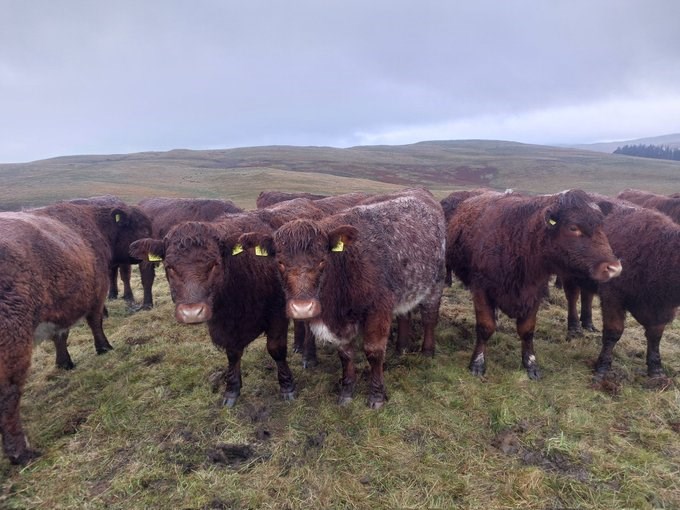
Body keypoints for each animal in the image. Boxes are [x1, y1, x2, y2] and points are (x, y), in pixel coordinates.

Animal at [0, 202, 151, 464]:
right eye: (141, 226)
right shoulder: (95, 291)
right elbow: (95, 322)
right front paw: (104, 347)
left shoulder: (63, 306)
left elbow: (60, 336)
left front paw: (64, 362)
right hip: (12, 343)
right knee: (8, 397)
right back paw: (21, 452)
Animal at [240, 188, 447, 408]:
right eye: (279, 262)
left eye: (322, 260)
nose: (302, 308)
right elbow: (345, 354)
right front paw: (347, 391)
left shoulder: (378, 309)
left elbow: (374, 352)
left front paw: (376, 395)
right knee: (405, 315)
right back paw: (402, 348)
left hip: (436, 282)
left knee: (429, 317)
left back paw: (427, 352)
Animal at [445, 189, 622, 380]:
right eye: (573, 228)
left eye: (602, 227)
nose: (614, 268)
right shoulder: (480, 289)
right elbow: (485, 327)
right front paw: (477, 364)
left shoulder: (535, 292)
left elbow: (527, 330)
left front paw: (530, 364)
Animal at [558, 199, 680, 380]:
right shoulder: (613, 297)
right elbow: (613, 332)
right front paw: (602, 367)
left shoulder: (662, 310)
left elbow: (655, 336)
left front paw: (656, 370)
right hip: (569, 275)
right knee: (572, 297)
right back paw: (574, 329)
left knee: (587, 296)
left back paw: (588, 323)